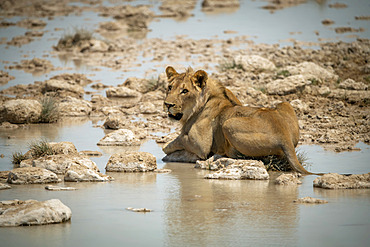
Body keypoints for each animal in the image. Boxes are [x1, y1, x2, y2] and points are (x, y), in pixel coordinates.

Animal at [162, 65, 312, 174]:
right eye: (169, 87)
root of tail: (285, 137)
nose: (167, 104)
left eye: (184, 91)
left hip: (229, 123)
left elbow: (177, 140)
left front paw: (168, 150)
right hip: (285, 104)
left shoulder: (200, 144)